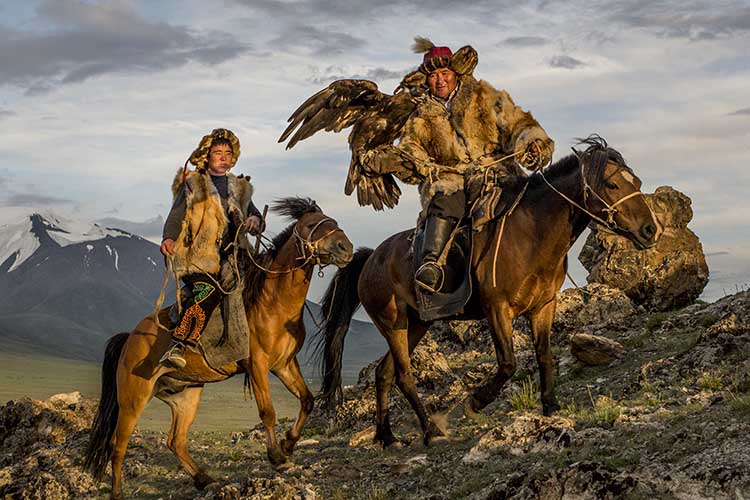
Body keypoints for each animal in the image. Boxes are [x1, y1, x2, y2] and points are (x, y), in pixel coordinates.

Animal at [83, 199, 354, 500]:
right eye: (311, 225)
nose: (346, 248)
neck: (273, 302)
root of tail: (130, 338)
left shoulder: (284, 364)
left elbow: (307, 399)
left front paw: (288, 444)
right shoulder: (257, 365)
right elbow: (268, 412)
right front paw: (277, 456)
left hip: (186, 395)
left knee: (175, 441)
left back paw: (205, 480)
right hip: (133, 399)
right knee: (118, 445)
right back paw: (119, 492)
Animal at [318, 136, 664, 446]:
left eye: (636, 181)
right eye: (611, 185)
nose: (651, 230)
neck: (531, 233)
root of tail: (370, 258)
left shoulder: (543, 307)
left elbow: (544, 355)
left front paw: (551, 407)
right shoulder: (497, 308)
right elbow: (508, 363)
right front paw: (476, 402)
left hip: (416, 324)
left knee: (384, 372)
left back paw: (387, 437)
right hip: (394, 324)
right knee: (402, 375)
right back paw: (430, 431)